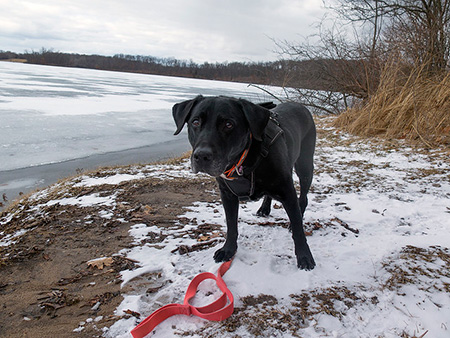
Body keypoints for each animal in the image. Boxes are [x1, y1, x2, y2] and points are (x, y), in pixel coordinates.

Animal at [172, 95, 316, 270]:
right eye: (195, 122)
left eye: (228, 124)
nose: (201, 156)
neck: (243, 161)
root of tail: (301, 106)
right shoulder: (227, 194)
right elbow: (231, 225)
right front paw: (228, 250)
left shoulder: (287, 191)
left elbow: (298, 229)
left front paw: (305, 257)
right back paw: (264, 208)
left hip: (305, 165)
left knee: (303, 198)